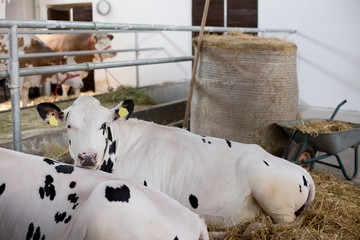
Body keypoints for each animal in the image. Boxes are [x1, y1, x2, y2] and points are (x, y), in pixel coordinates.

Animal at [37, 94, 316, 228]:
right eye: (69, 125)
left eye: (103, 125)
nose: (87, 156)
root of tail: (303, 172)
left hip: (270, 193)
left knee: (286, 224)